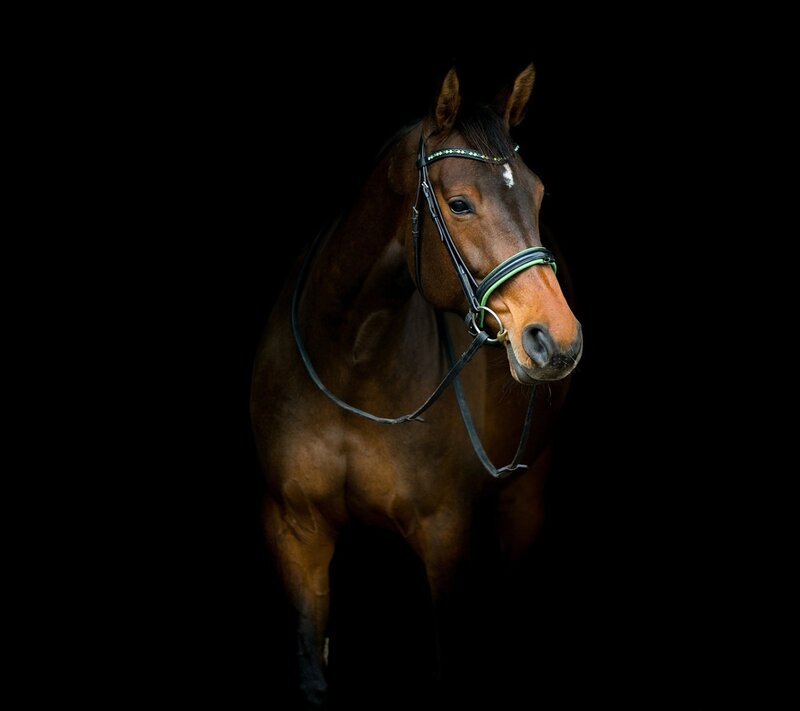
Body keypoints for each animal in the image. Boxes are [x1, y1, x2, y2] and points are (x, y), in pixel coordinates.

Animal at [250, 62, 583, 709]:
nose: (557, 340)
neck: (351, 359)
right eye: (459, 203)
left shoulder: (445, 536)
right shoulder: (295, 531)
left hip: (524, 500)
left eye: (537, 195)